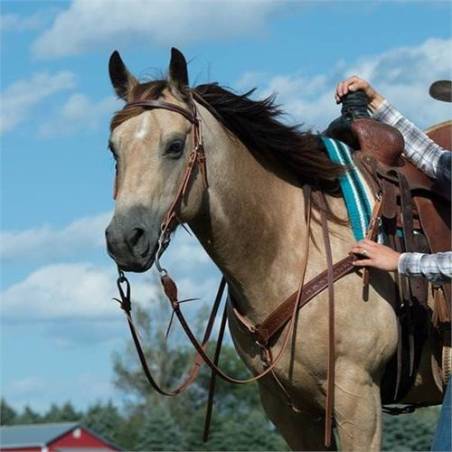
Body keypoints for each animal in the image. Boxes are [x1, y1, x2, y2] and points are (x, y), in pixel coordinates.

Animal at [104, 47, 446, 450]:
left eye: (174, 146)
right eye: (114, 149)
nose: (124, 239)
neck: (291, 249)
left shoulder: (358, 399)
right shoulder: (287, 410)